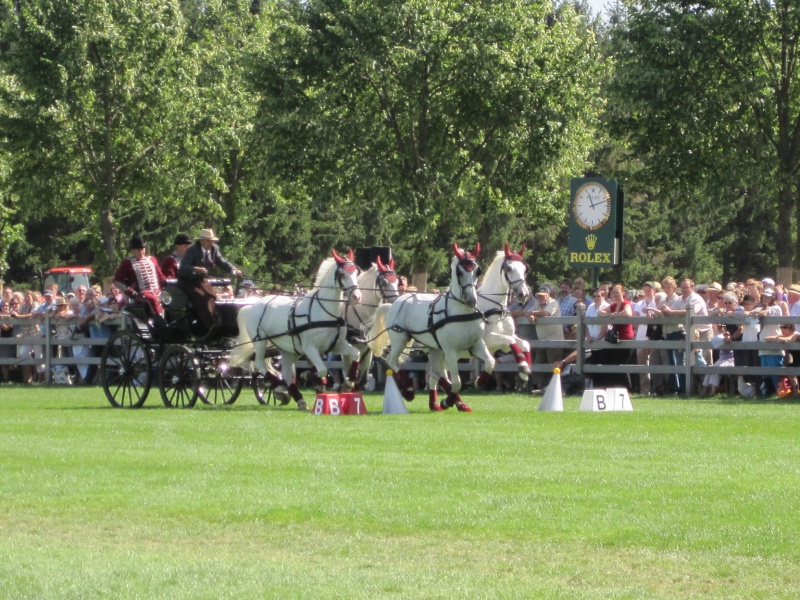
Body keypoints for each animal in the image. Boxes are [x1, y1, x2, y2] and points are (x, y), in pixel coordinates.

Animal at [227, 247, 360, 408]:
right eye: (342, 274)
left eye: (356, 272)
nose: (357, 297)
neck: (325, 312)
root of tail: (252, 305)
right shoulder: (310, 348)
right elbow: (322, 370)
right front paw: (318, 384)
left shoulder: (337, 345)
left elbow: (356, 353)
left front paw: (347, 384)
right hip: (260, 341)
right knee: (259, 364)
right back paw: (278, 387)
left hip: (288, 349)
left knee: (285, 372)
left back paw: (297, 397)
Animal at [370, 244, 494, 412]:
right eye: (460, 272)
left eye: (477, 271)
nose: (471, 300)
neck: (460, 311)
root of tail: (394, 302)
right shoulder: (450, 350)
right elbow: (457, 382)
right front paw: (447, 401)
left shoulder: (476, 344)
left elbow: (490, 362)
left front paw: (479, 382)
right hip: (400, 340)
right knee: (392, 362)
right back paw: (409, 390)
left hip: (434, 348)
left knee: (433, 371)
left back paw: (441, 403)